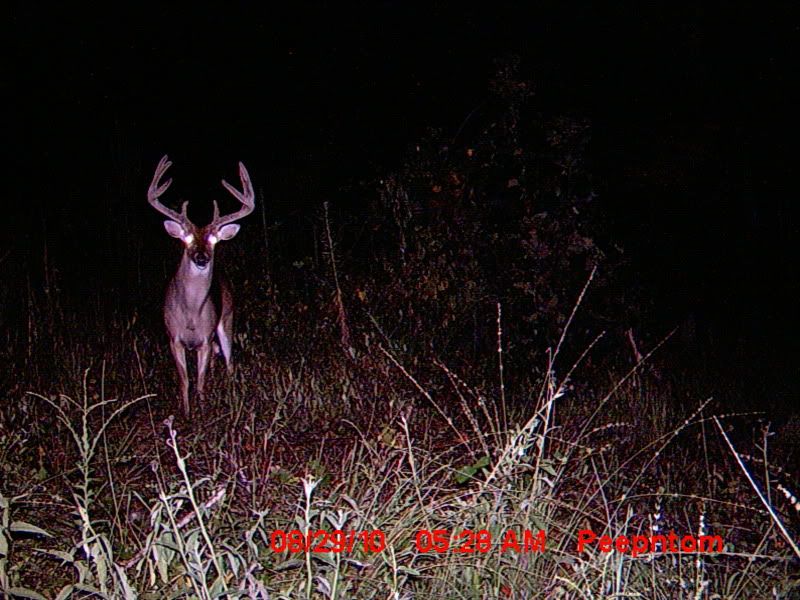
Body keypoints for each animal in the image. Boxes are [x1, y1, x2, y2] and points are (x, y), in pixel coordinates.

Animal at [147, 155, 255, 415]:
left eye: (213, 241)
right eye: (186, 239)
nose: (202, 257)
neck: (191, 315)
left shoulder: (205, 338)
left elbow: (201, 380)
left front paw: (202, 410)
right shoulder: (173, 338)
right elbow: (185, 380)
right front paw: (186, 412)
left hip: (226, 319)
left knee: (229, 360)